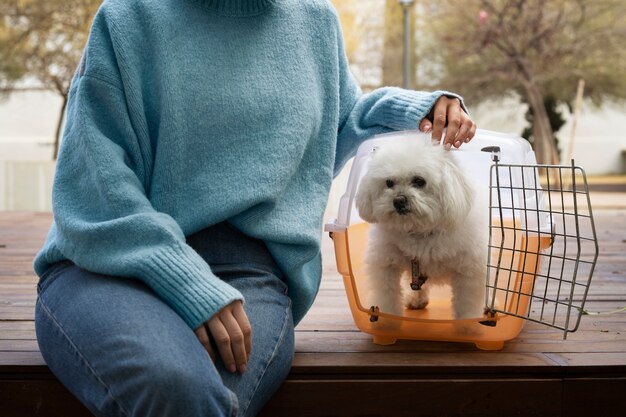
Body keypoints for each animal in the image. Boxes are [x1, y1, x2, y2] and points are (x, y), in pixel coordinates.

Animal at [354, 138, 486, 320]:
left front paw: (468, 323)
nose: (398, 200)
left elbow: (467, 304)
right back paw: (416, 300)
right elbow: (388, 297)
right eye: (389, 182)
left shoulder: (468, 272)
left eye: (419, 181)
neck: (419, 231)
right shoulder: (386, 266)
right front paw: (388, 320)